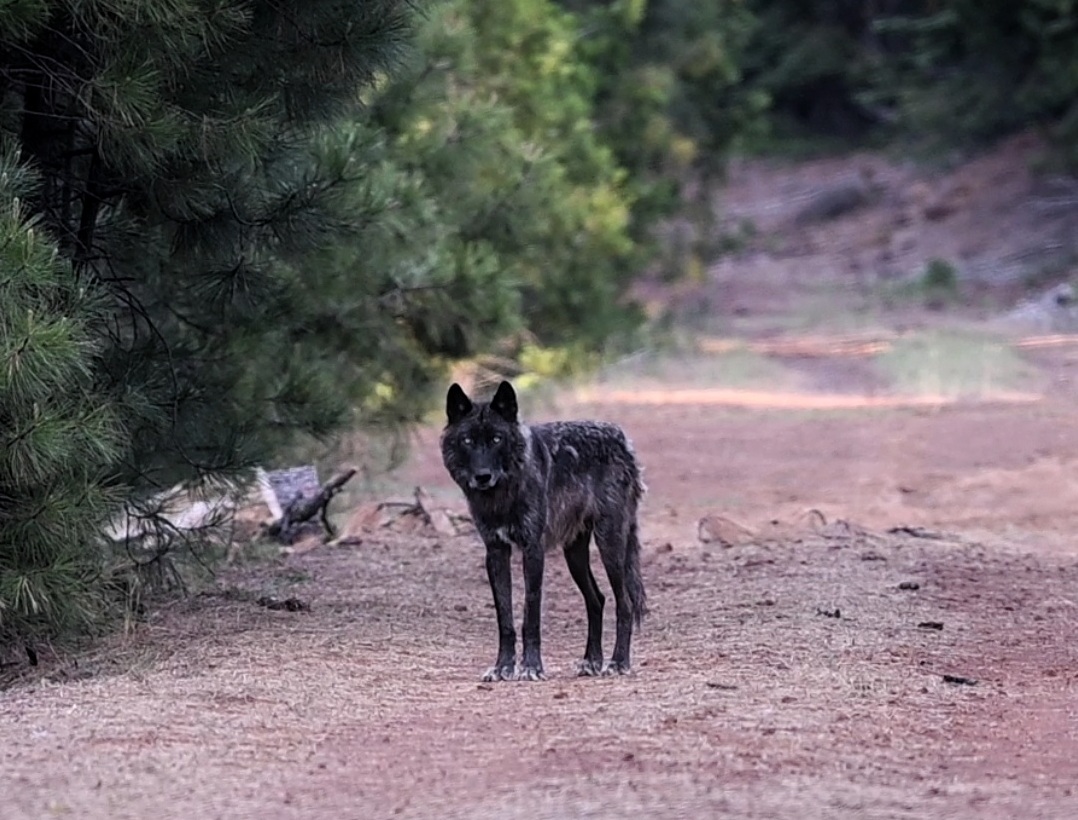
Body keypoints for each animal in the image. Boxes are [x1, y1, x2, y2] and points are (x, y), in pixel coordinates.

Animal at [440, 380, 647, 682]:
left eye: (496, 439)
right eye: (467, 440)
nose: (482, 477)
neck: (503, 495)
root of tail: (622, 438)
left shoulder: (533, 550)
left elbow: (531, 614)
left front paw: (531, 667)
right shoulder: (495, 552)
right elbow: (505, 618)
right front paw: (502, 668)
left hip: (610, 545)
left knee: (625, 603)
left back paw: (618, 662)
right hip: (575, 556)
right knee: (597, 599)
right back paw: (591, 662)